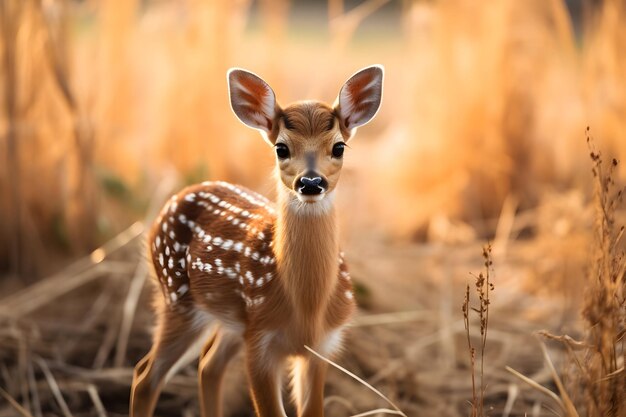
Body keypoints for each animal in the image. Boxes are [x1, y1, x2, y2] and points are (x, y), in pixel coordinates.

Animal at [129, 65, 382, 416]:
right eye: (281, 148)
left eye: (339, 147)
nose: (311, 182)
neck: (306, 310)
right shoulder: (261, 341)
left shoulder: (321, 348)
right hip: (177, 299)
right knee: (146, 375)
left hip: (230, 322)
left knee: (208, 366)